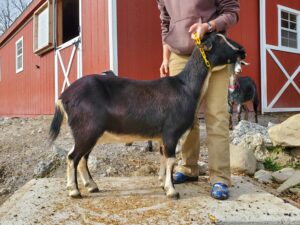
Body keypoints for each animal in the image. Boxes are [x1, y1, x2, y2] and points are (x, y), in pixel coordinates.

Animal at [49, 33, 246, 199]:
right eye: (220, 41)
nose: (241, 50)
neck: (186, 87)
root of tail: (63, 97)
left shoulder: (161, 136)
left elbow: (163, 158)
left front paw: (163, 184)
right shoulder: (171, 132)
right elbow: (171, 160)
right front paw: (172, 191)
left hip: (88, 133)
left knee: (81, 157)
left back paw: (91, 186)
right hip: (88, 130)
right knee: (73, 157)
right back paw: (74, 191)